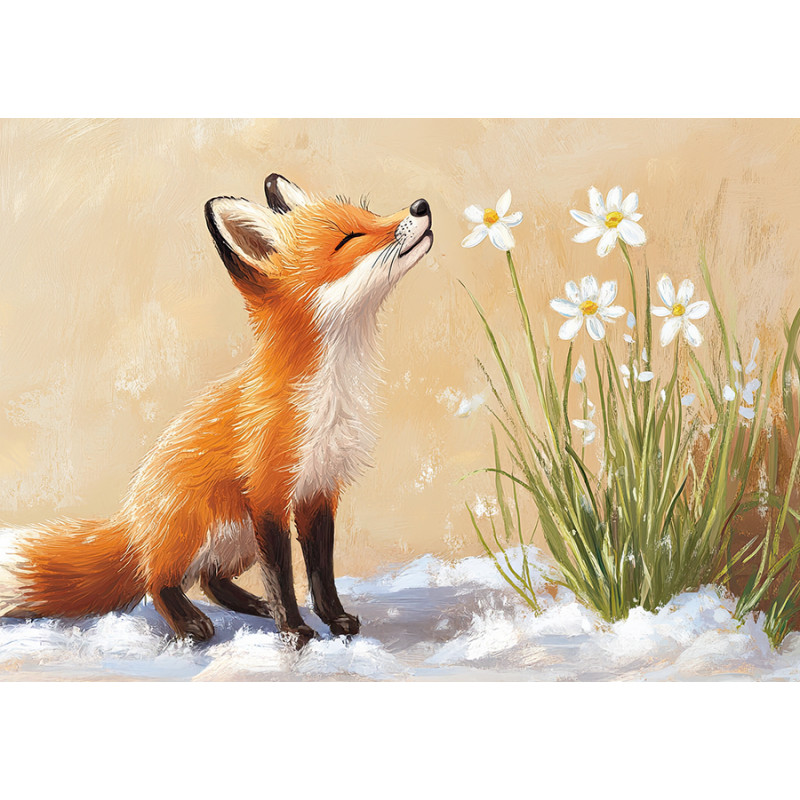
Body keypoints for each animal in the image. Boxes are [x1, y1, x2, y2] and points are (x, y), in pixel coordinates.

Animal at [0, 174, 433, 647]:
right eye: (349, 239)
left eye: (370, 215)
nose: (421, 205)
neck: (329, 394)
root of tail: (133, 523)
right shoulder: (268, 496)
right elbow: (283, 576)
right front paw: (294, 630)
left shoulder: (319, 490)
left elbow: (321, 571)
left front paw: (333, 619)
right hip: (201, 531)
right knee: (158, 582)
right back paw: (191, 621)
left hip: (237, 542)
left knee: (210, 580)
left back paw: (253, 606)